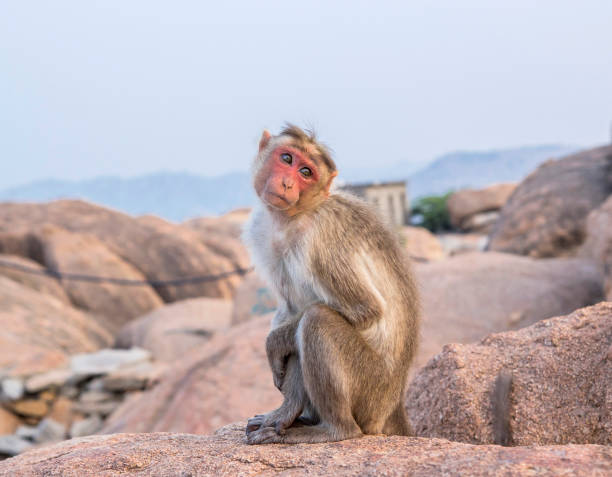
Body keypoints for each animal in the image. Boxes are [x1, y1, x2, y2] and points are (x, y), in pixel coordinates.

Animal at [241, 123, 418, 442]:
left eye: (306, 172)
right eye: (287, 158)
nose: (287, 183)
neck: (294, 217)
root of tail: (394, 403)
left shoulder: (323, 240)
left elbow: (365, 309)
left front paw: (274, 344)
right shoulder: (261, 232)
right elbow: (289, 309)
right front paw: (284, 409)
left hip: (370, 387)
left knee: (316, 319)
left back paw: (334, 428)